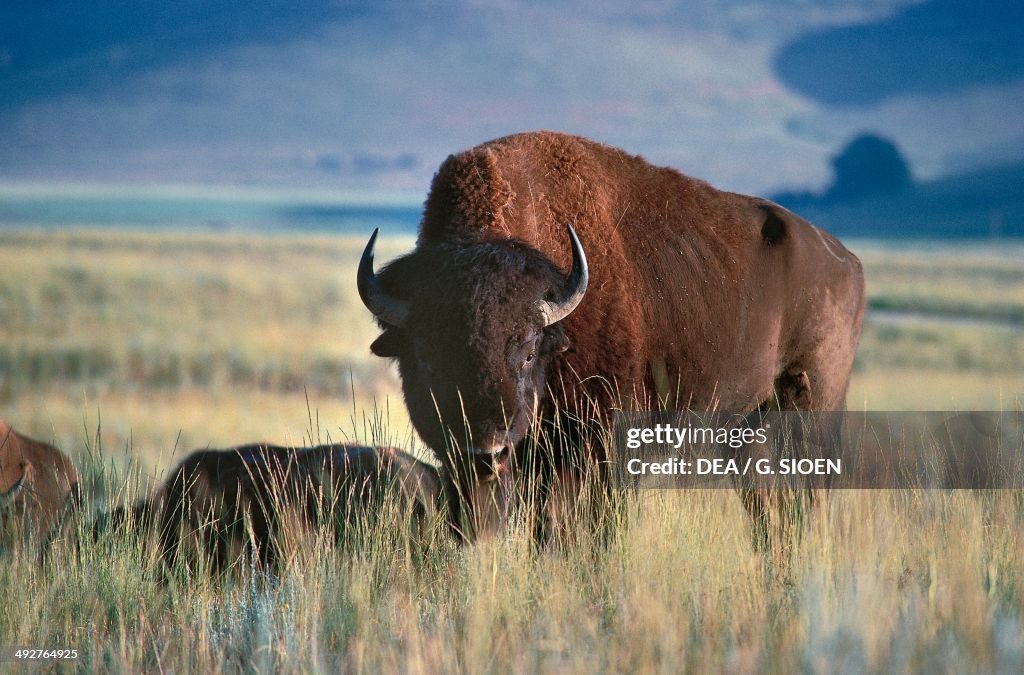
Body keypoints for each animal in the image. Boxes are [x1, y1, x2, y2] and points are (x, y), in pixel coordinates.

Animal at [360, 129, 864, 544]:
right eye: (427, 356)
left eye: (528, 351)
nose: (486, 450)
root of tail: (844, 258)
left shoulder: (603, 446)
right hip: (749, 430)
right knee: (767, 508)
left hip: (810, 410)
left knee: (803, 501)